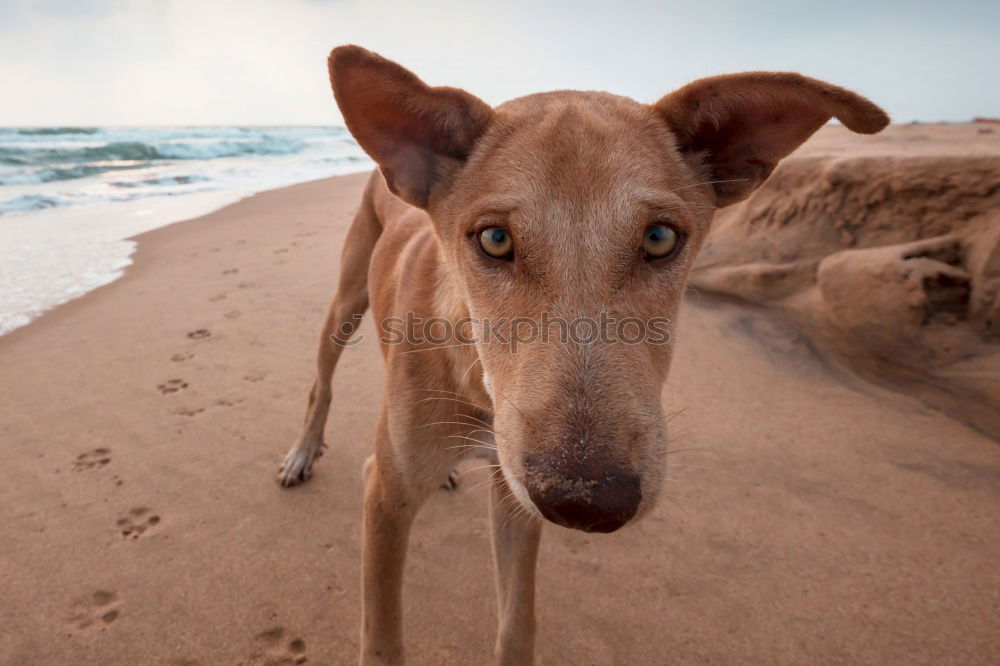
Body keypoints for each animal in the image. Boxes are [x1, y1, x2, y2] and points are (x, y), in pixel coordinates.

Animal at [278, 44, 888, 660]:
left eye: (660, 239)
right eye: (494, 240)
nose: (586, 503)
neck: (478, 381)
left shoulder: (514, 493)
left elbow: (516, 625)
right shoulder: (386, 497)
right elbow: (382, 639)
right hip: (345, 305)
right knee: (319, 384)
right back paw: (303, 452)